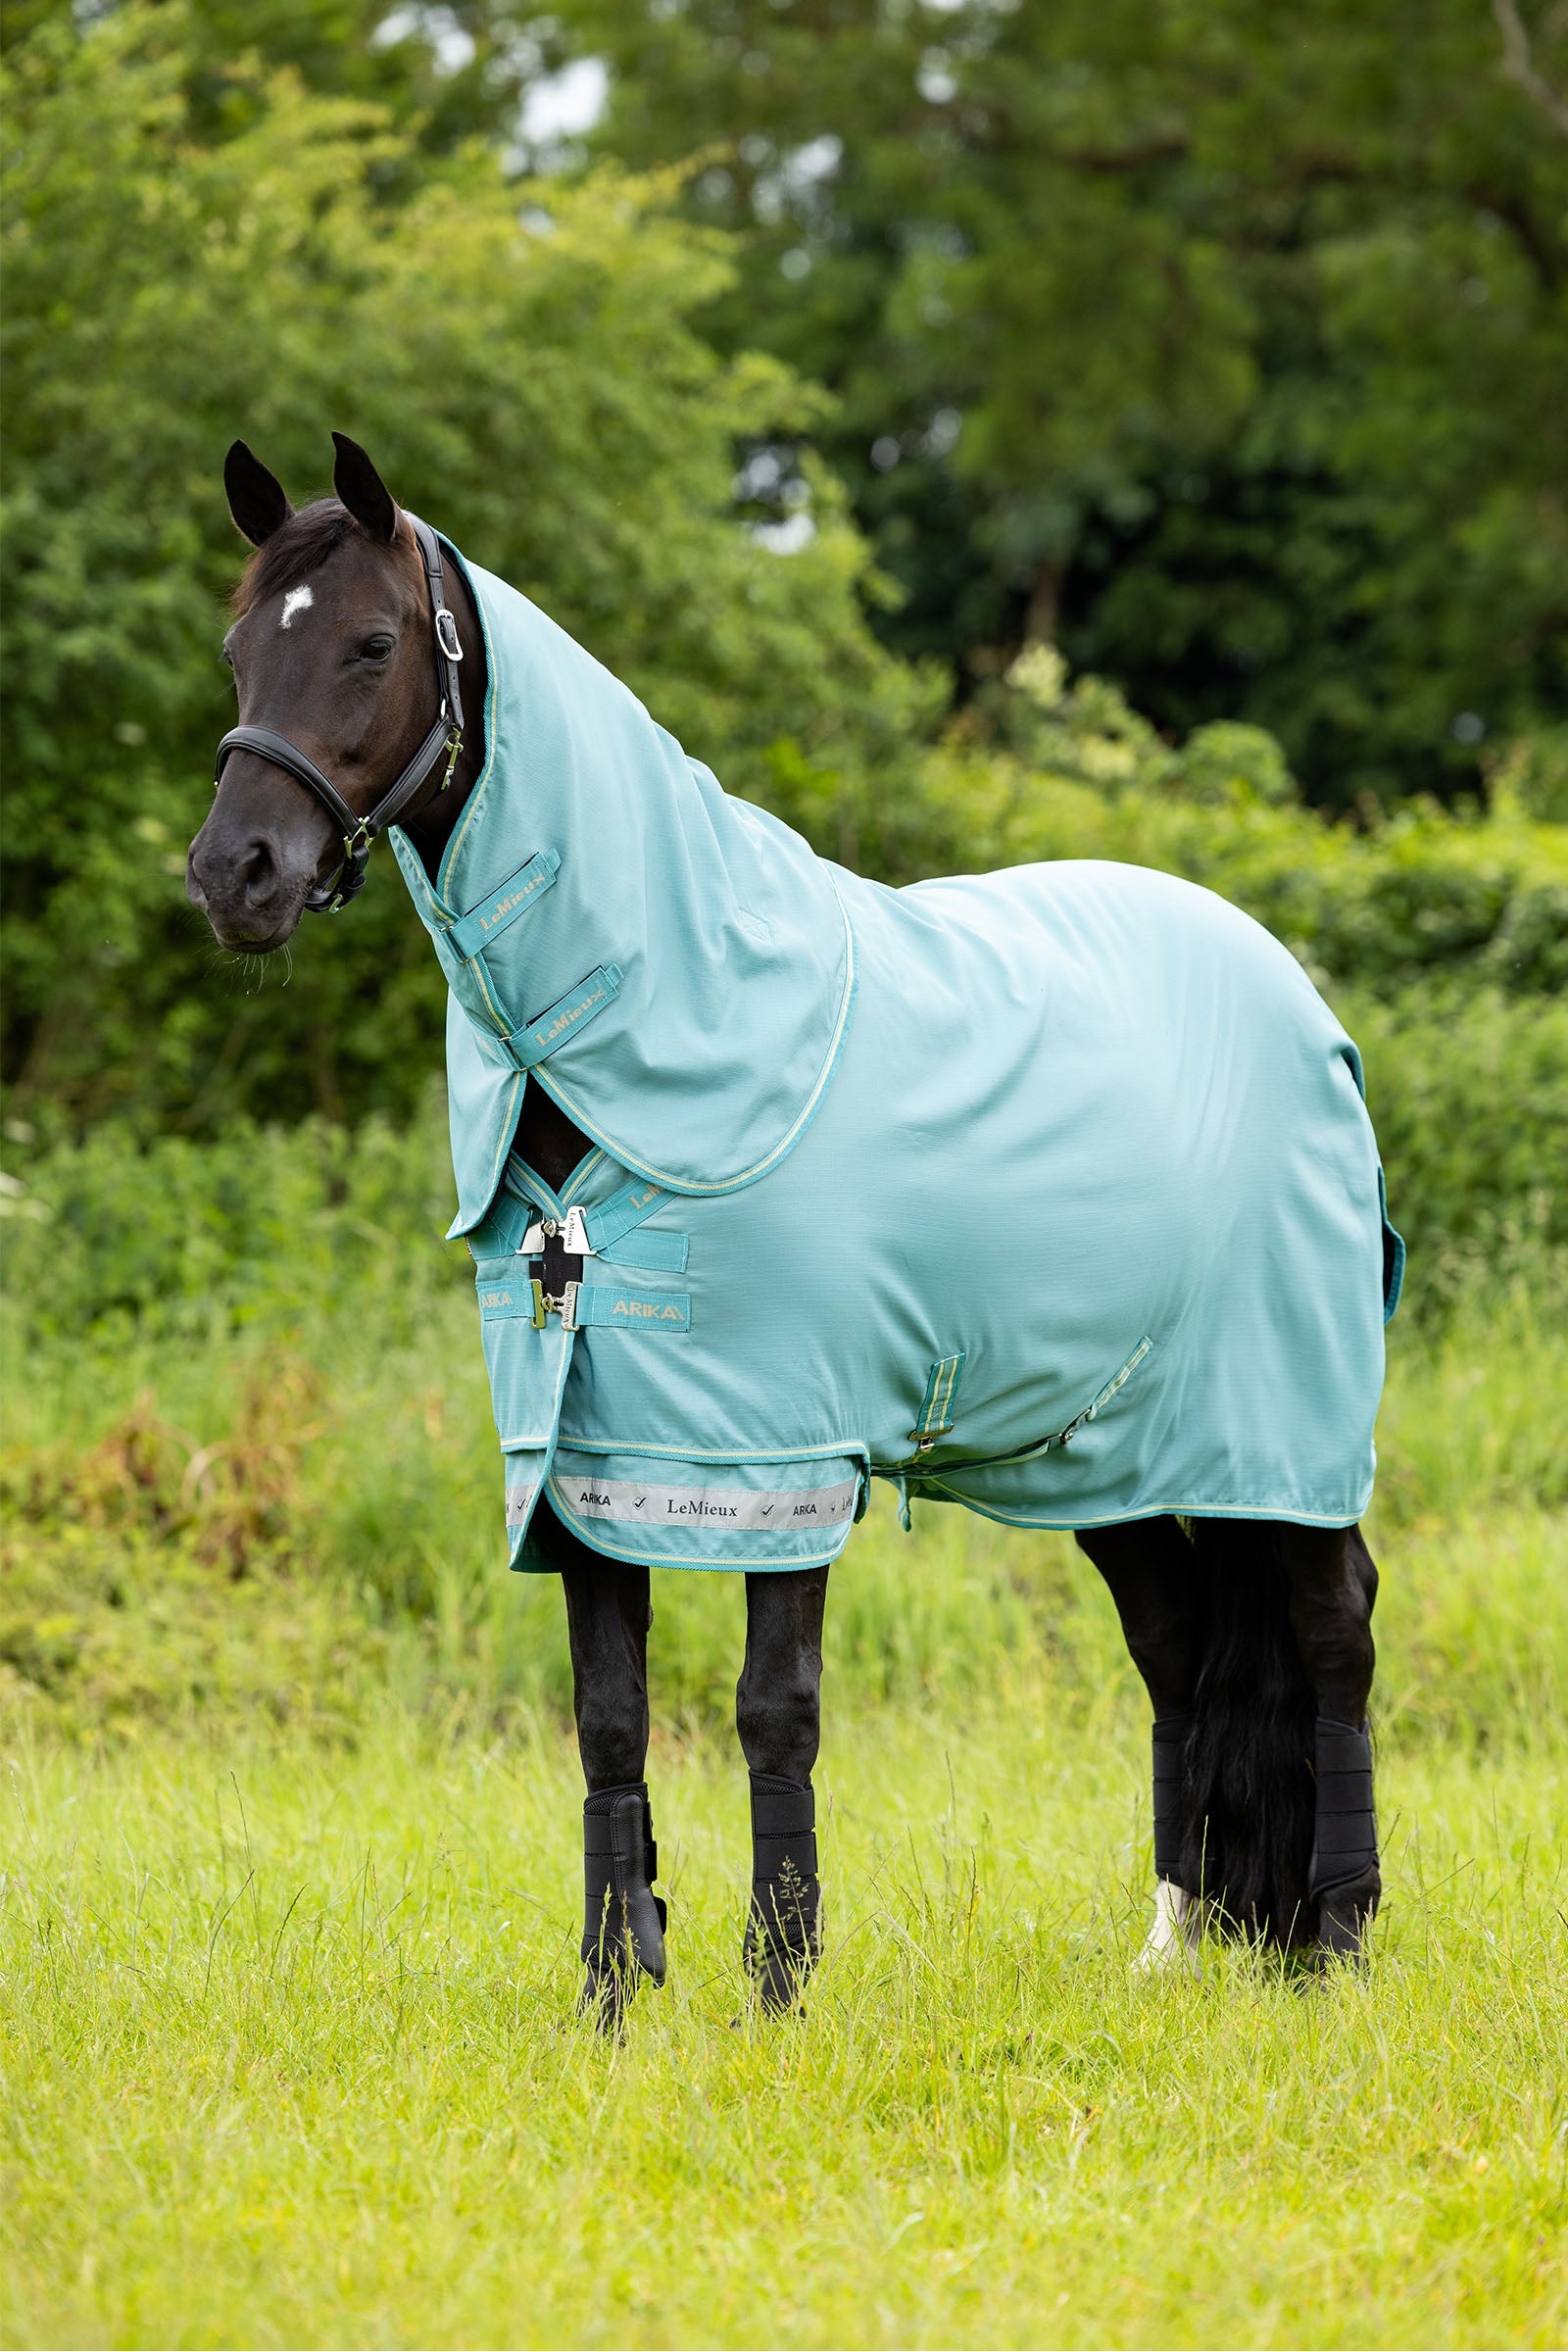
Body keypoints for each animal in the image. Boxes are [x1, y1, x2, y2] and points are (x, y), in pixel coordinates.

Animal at [188, 433, 1391, 2017]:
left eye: (373, 643)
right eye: (237, 651)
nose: (235, 875)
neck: (665, 1022)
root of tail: (1300, 1002)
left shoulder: (779, 1449)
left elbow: (775, 1710)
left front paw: (779, 1977)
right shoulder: (581, 1456)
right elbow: (611, 1719)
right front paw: (616, 1984)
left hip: (1286, 1421)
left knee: (1329, 1629)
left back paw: (1341, 1934)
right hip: (1107, 1452)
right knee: (1181, 1645)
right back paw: (1175, 1941)